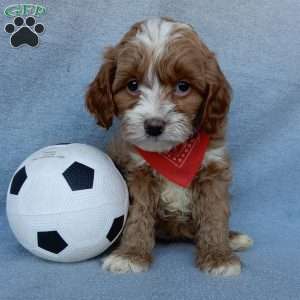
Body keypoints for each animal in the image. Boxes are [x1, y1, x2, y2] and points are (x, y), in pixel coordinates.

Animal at [85, 15, 252, 274]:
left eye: (183, 87)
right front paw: (131, 255)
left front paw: (218, 256)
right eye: (132, 85)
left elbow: (214, 214)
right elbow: (138, 215)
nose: (154, 126)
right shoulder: (138, 173)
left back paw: (232, 238)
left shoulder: (213, 171)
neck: (172, 152)